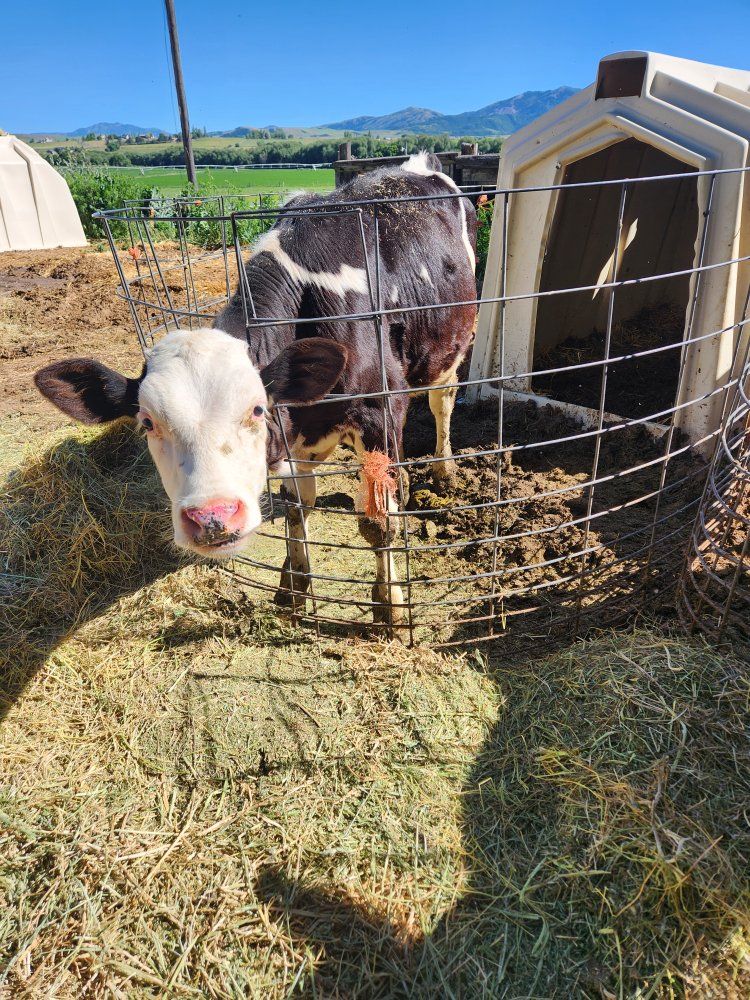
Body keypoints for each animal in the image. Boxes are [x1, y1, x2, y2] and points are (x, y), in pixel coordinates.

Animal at [34, 152, 477, 625]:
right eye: (148, 423)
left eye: (256, 410)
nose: (213, 518)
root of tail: (418, 162)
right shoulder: (294, 435)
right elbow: (297, 508)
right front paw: (295, 586)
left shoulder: (379, 412)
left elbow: (378, 522)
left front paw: (391, 606)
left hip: (451, 344)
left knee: (441, 401)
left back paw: (444, 469)